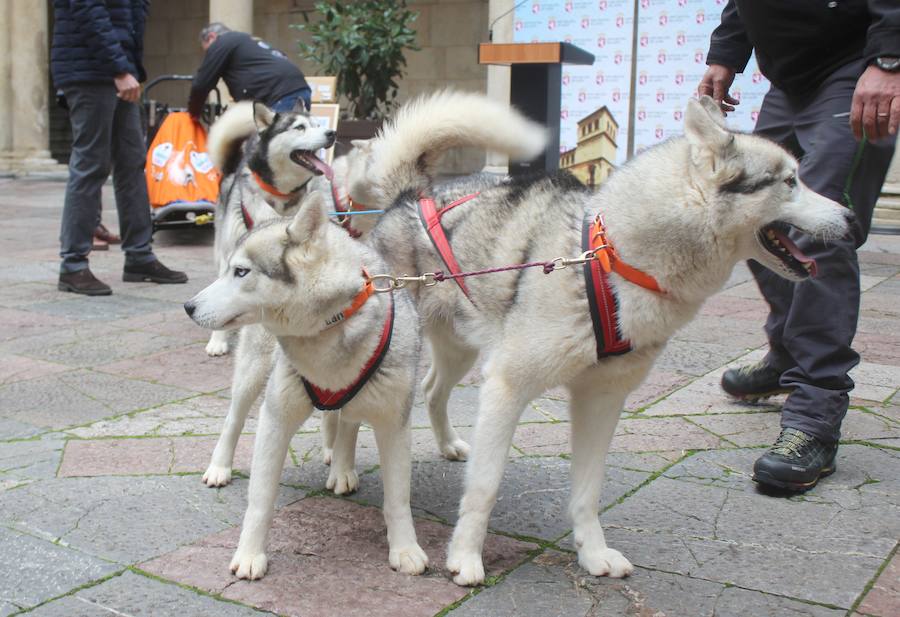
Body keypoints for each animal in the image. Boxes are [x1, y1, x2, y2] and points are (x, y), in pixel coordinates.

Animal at [340, 90, 852, 584]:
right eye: (790, 181)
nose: (851, 219)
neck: (612, 261)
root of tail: (413, 192)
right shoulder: (507, 385)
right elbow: (485, 486)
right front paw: (465, 557)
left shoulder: (601, 399)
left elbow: (587, 491)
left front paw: (593, 553)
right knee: (356, 401)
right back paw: (340, 465)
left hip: (460, 347)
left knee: (432, 390)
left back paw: (446, 444)